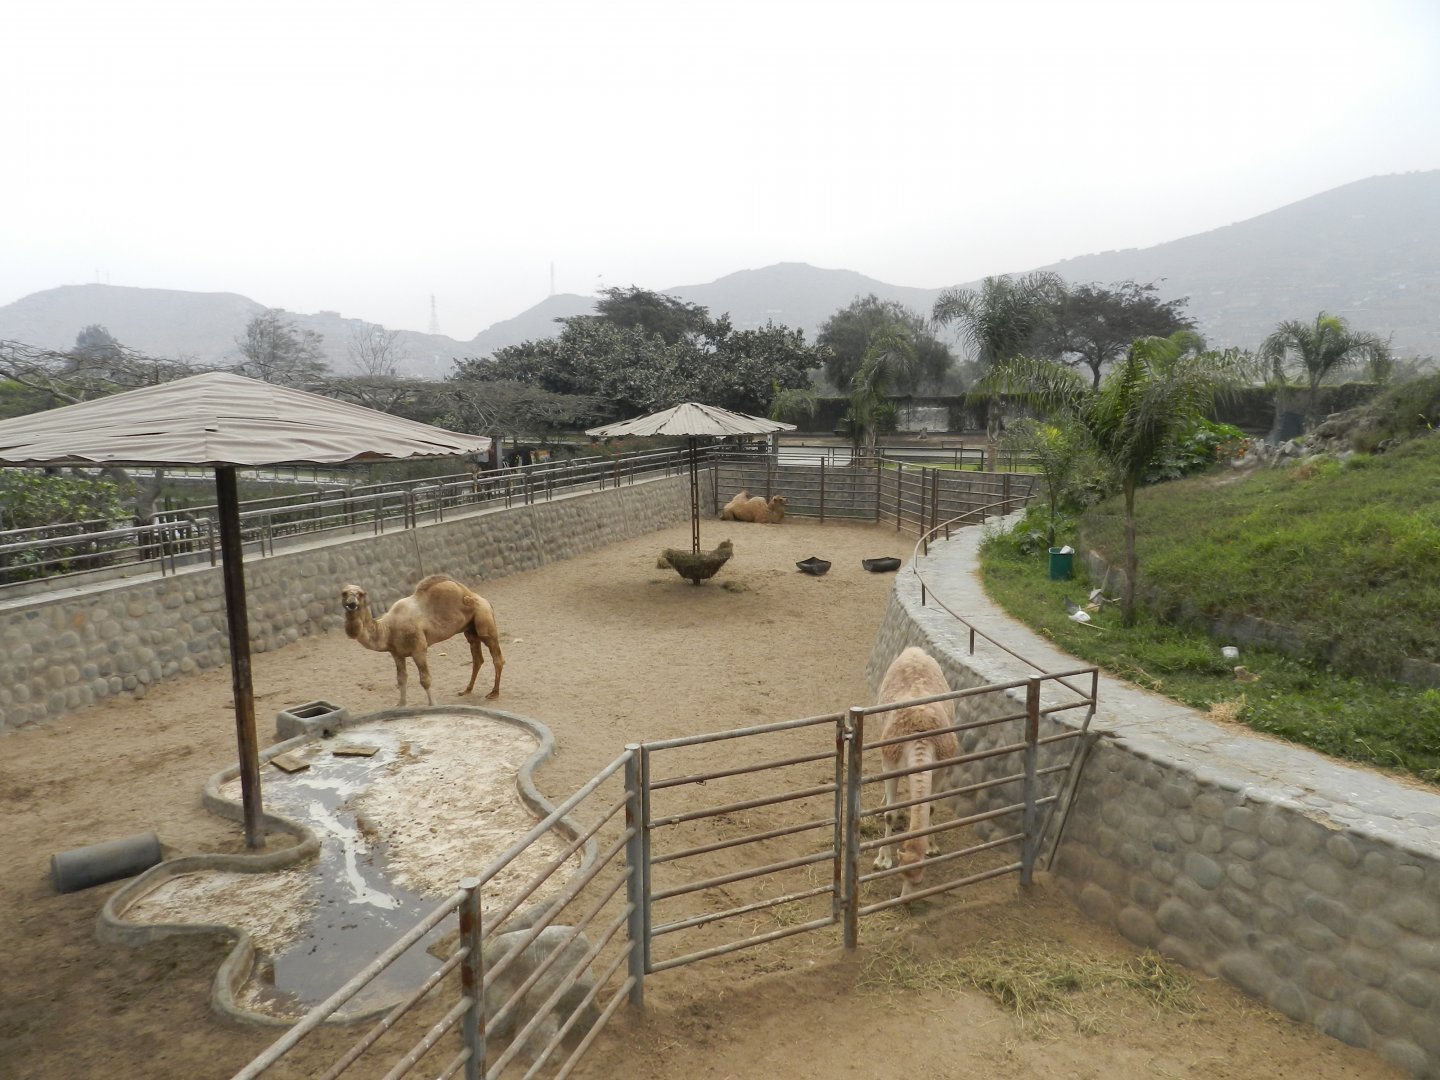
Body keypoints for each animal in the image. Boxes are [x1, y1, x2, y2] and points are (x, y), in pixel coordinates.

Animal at [340, 574, 503, 706]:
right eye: (343, 593)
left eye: (361, 594)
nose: (352, 604)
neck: (387, 628)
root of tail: (483, 600)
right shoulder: (396, 653)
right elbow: (401, 679)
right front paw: (401, 704)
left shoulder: (418, 648)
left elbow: (425, 679)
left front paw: (433, 704)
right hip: (470, 629)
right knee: (477, 658)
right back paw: (466, 690)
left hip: (484, 619)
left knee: (497, 657)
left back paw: (494, 693)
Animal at [872, 647, 959, 900]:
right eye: (900, 875)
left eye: (920, 881)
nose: (905, 900)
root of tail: (913, 650)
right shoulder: (889, 764)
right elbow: (890, 814)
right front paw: (882, 860)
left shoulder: (941, 768)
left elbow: (930, 807)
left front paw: (931, 847)